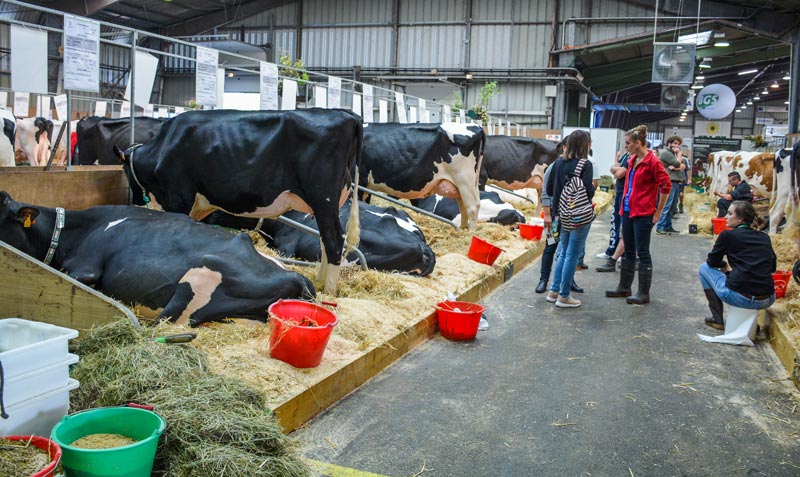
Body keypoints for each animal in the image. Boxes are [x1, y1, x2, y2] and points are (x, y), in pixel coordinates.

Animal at [113, 109, 362, 294]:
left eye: (124, 171)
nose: (134, 199)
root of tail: (347, 115)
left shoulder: (179, 198)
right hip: (328, 203)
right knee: (325, 239)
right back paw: (320, 281)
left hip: (323, 197)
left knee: (333, 239)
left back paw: (328, 292)